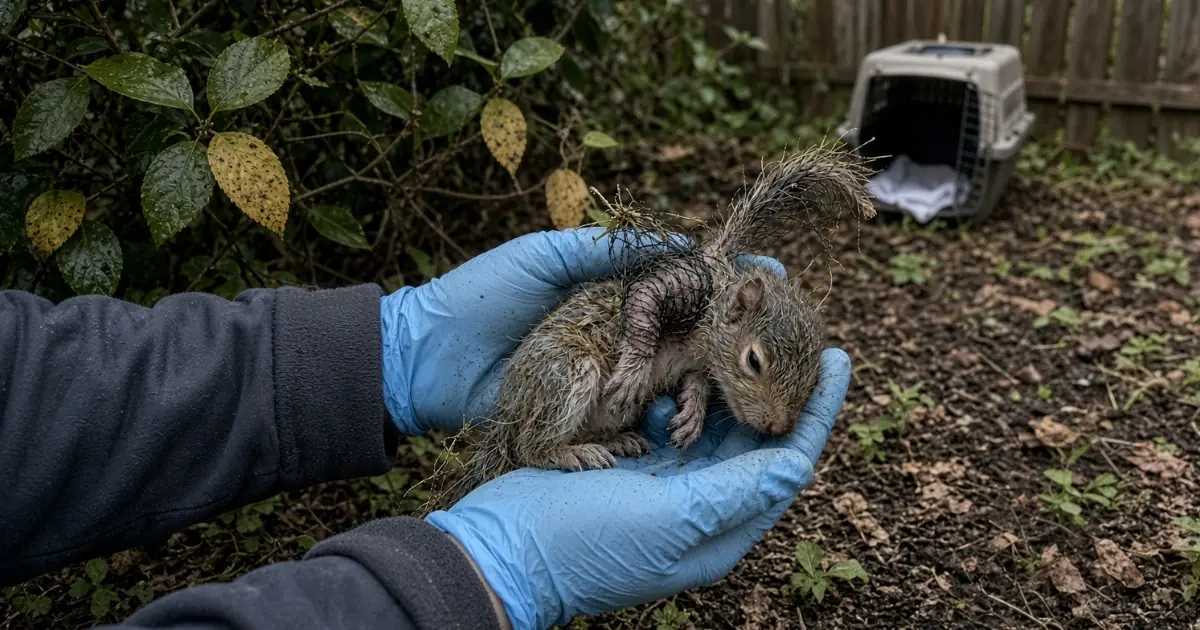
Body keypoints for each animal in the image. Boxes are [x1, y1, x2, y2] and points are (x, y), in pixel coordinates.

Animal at [435, 142, 875, 504]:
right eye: (753, 362)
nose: (776, 427)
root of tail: (508, 414)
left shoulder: (698, 364)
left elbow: (696, 383)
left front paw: (692, 414)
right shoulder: (685, 283)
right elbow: (643, 308)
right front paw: (634, 370)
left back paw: (618, 441)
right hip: (563, 371)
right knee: (530, 448)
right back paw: (570, 451)